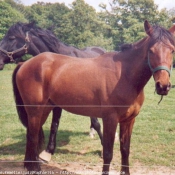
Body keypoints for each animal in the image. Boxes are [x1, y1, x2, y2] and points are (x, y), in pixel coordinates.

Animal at [12, 19, 175, 174]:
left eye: (172, 50)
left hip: (43, 110)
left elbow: (125, 150)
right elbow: (108, 153)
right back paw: (35, 168)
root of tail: (25, 63)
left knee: (31, 135)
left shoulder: (129, 120)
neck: (124, 76)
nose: (163, 86)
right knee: (32, 137)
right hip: (35, 110)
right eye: (151, 51)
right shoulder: (110, 119)